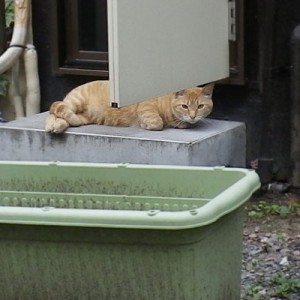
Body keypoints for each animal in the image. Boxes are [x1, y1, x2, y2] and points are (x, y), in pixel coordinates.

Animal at [44, 80, 213, 133]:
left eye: (200, 106)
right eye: (184, 106)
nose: (192, 116)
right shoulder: (145, 107)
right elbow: (157, 122)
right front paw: (146, 125)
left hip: (84, 117)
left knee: (59, 114)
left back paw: (59, 125)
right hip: (75, 101)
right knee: (55, 107)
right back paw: (54, 125)